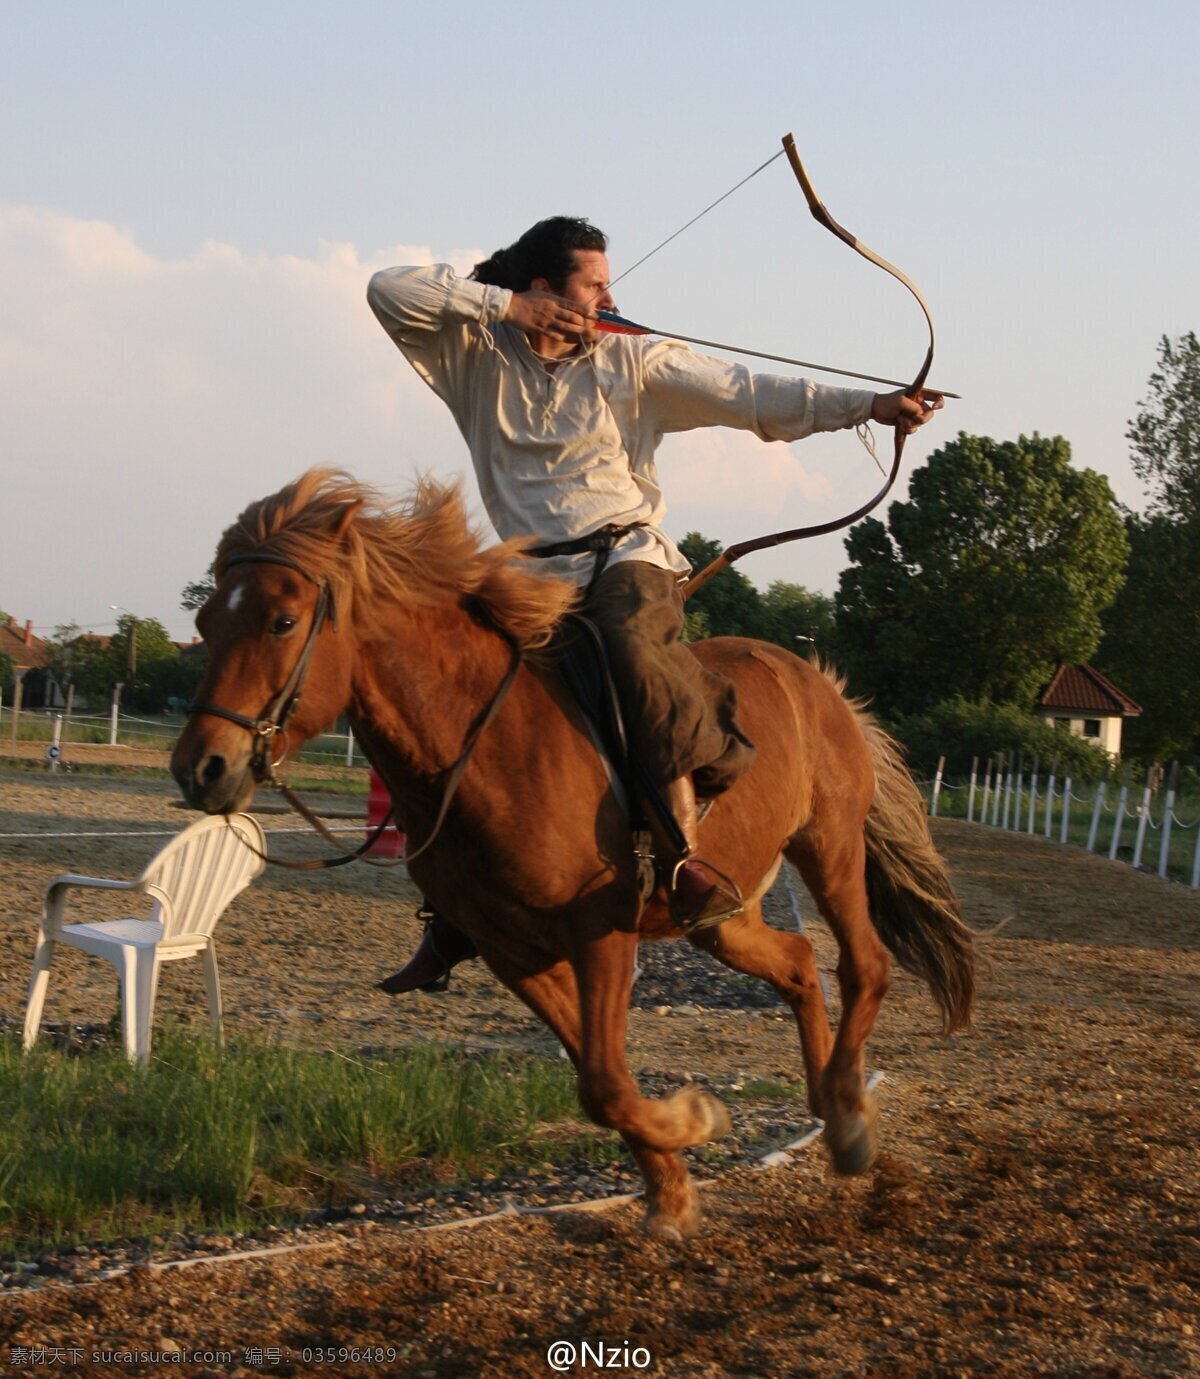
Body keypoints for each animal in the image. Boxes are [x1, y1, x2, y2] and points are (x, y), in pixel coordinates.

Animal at [171, 468, 974, 1241]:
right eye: (206, 622)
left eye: (282, 621)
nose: (200, 768)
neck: (488, 744)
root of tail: (822, 684)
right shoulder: (513, 951)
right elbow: (596, 1080)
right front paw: (673, 1188)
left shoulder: (602, 930)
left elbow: (607, 1083)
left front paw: (694, 1121)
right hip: (727, 914)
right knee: (800, 963)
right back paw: (832, 1109)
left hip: (829, 848)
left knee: (863, 964)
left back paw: (848, 1116)